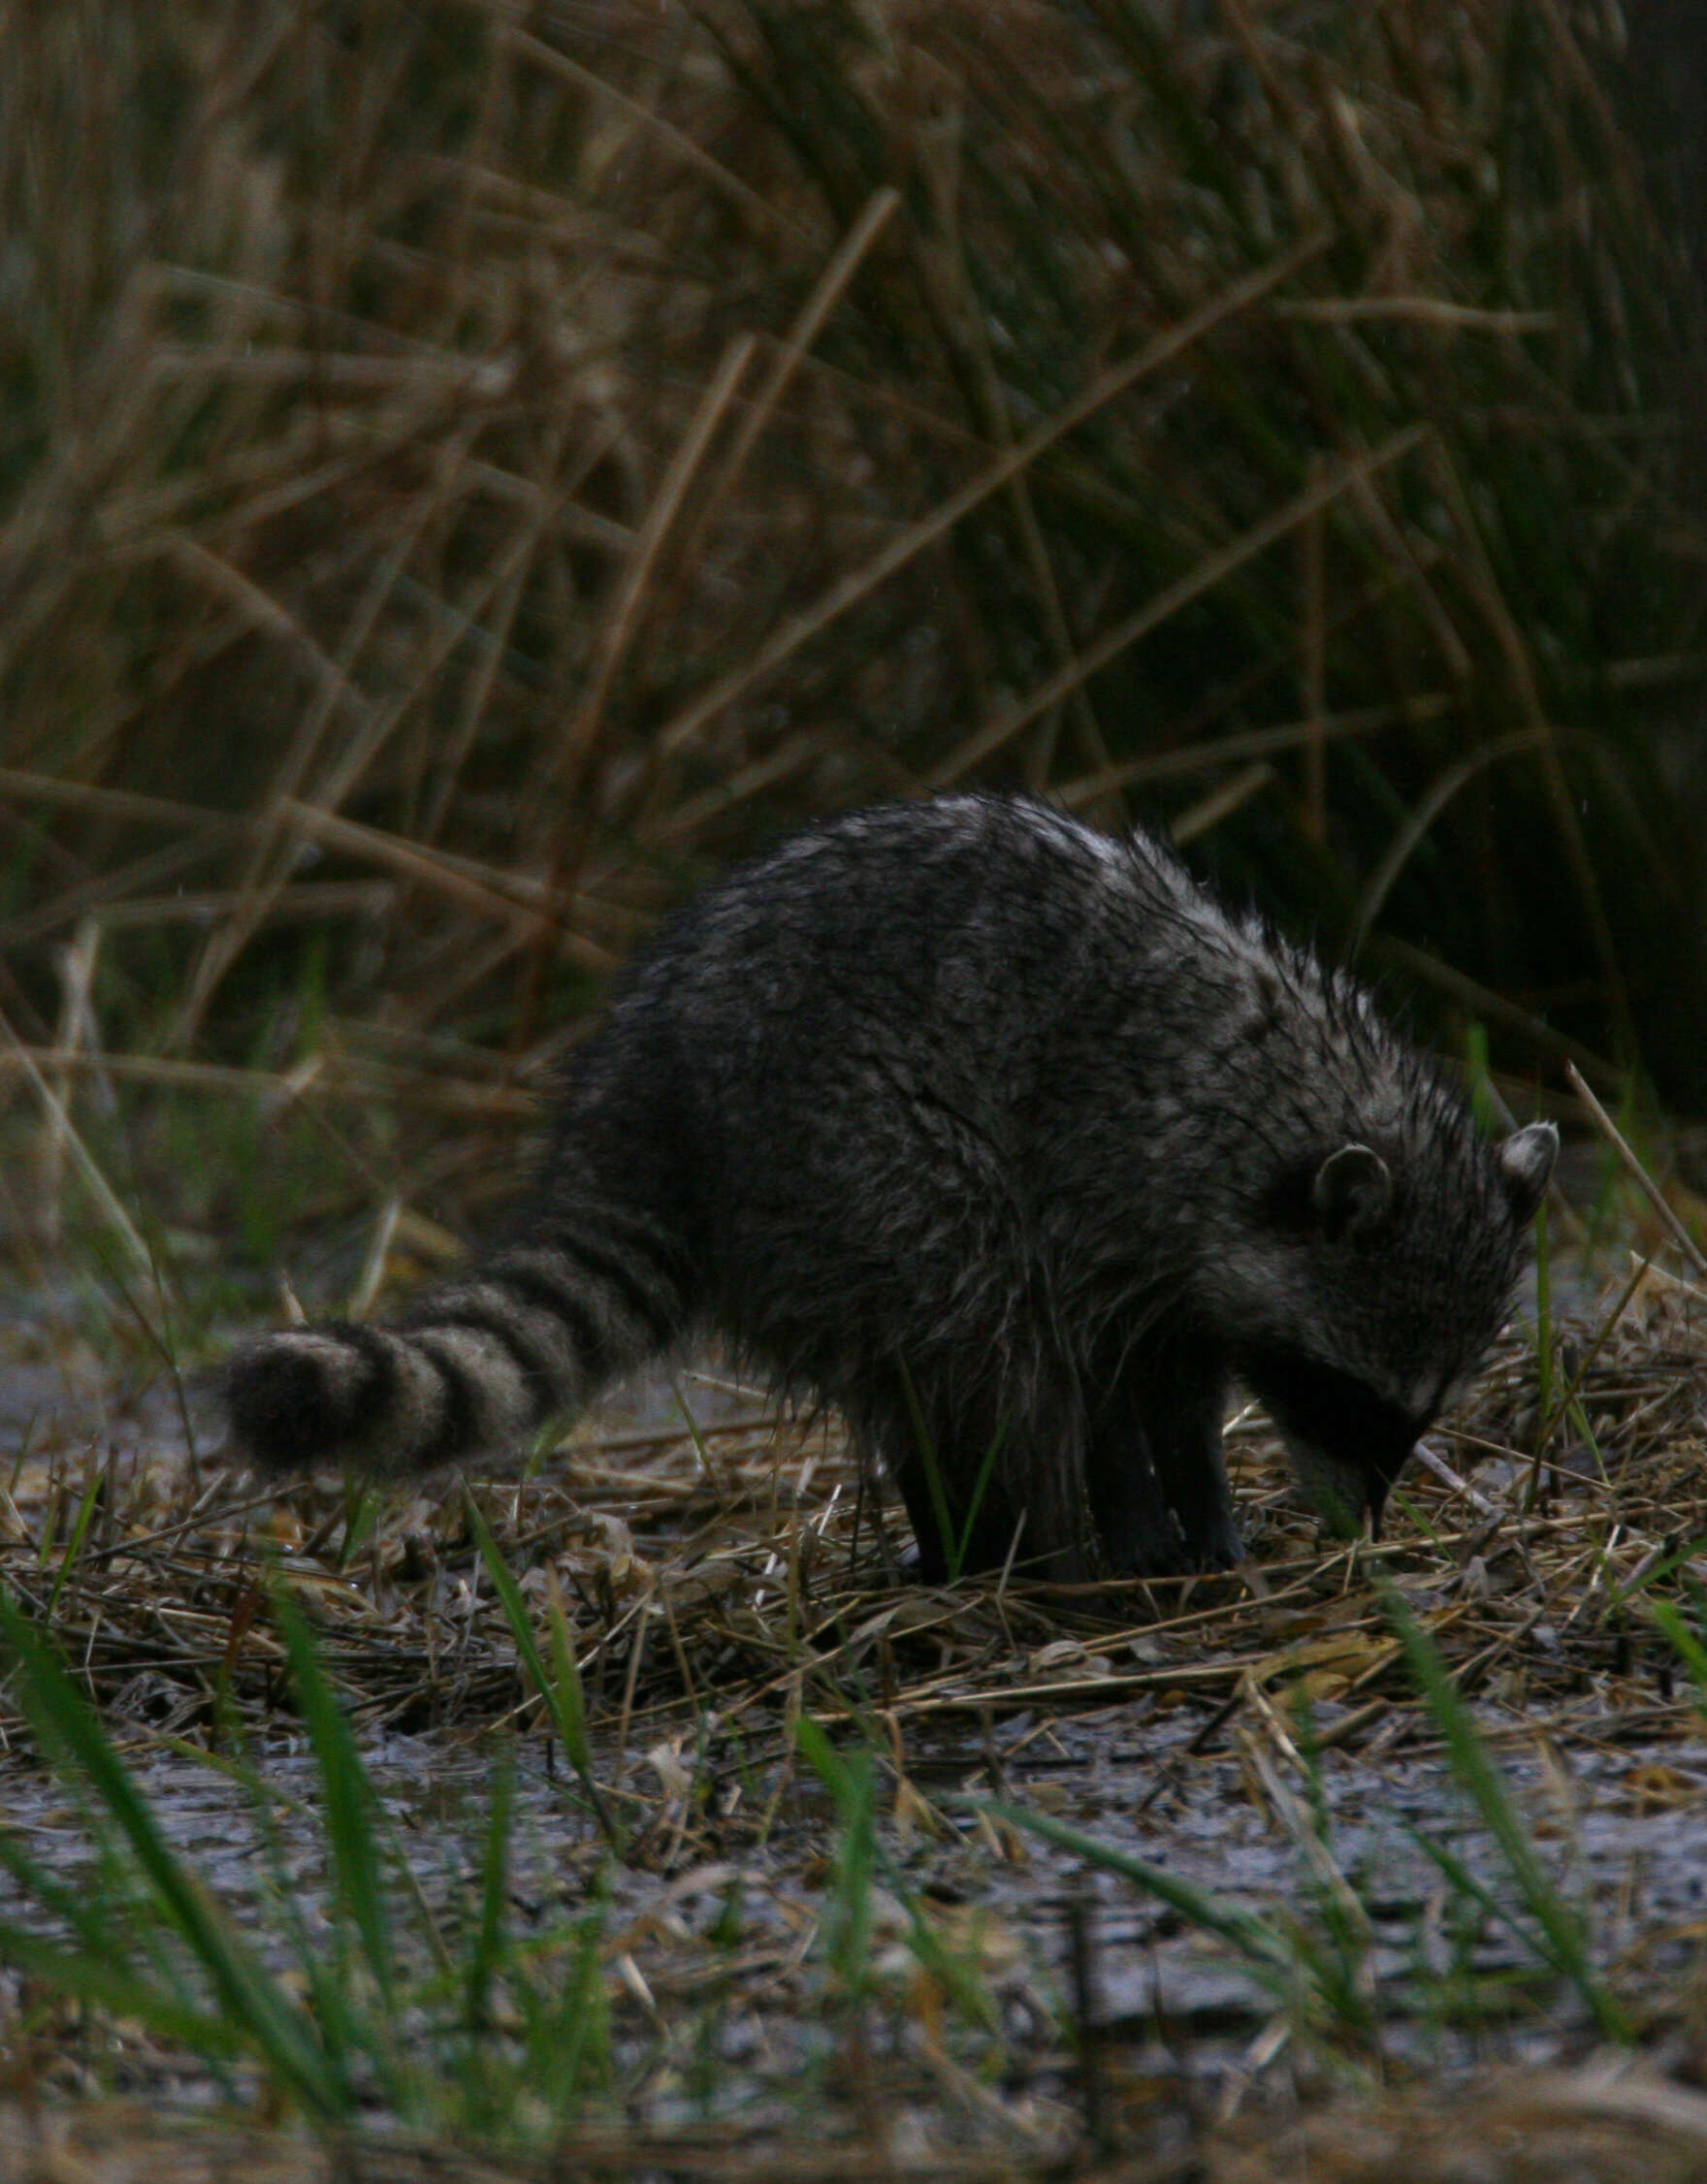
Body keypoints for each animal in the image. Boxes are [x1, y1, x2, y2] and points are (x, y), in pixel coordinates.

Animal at [220, 794, 1554, 1581]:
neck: (1272, 1093)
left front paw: (1206, 1515)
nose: (1362, 1526)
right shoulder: (1103, 1178)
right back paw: (1038, 1548)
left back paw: (958, 1534)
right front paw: (1149, 1524)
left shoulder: (1190, 1260)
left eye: (1413, 1409)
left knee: (920, 1363)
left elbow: (1174, 1391)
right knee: (982, 1320)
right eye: (1345, 1395)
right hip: (846, 1150)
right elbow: (1101, 1383)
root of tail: (640, 1096)